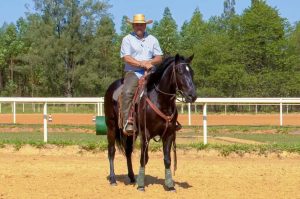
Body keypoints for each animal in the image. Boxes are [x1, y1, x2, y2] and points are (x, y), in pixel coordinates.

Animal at [103, 53, 197, 192]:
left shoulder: (169, 134)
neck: (160, 100)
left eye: (192, 72)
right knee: (111, 151)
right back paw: (113, 179)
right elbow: (143, 158)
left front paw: (170, 185)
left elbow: (167, 159)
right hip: (111, 126)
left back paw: (132, 177)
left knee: (128, 151)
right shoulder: (145, 134)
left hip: (130, 133)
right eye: (179, 71)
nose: (192, 95)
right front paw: (141, 185)